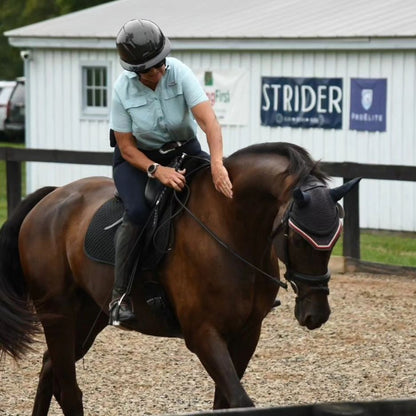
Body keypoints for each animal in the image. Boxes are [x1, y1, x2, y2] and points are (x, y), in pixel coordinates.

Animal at [0, 142, 358, 412]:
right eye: (298, 238)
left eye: (335, 237)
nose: (316, 314)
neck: (231, 229)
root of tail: (52, 197)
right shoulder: (203, 334)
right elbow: (239, 399)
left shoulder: (247, 333)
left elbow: (224, 401)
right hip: (58, 313)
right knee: (69, 390)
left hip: (89, 316)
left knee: (51, 368)